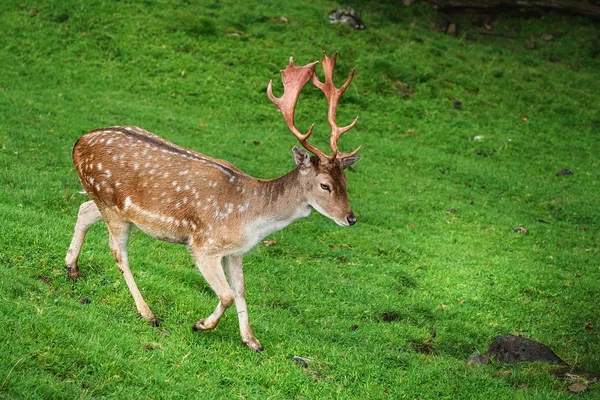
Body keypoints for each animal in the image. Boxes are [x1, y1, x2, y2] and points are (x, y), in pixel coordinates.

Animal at [68, 51, 364, 352]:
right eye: (325, 185)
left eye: (346, 181)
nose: (351, 218)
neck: (251, 219)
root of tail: (78, 142)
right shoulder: (204, 245)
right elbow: (227, 295)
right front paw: (201, 324)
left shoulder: (235, 251)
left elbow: (241, 290)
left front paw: (252, 341)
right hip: (111, 205)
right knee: (118, 251)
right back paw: (147, 312)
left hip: (109, 203)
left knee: (84, 209)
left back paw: (72, 268)